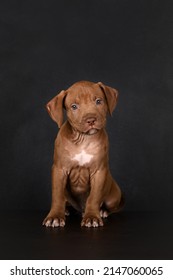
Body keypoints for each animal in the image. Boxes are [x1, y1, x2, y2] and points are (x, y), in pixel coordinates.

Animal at [43, 79, 123, 228]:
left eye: (98, 101)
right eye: (74, 106)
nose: (90, 119)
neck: (83, 139)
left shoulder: (99, 171)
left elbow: (94, 196)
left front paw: (92, 217)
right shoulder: (59, 170)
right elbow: (57, 195)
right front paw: (55, 216)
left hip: (113, 196)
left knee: (110, 206)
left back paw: (102, 211)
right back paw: (67, 210)